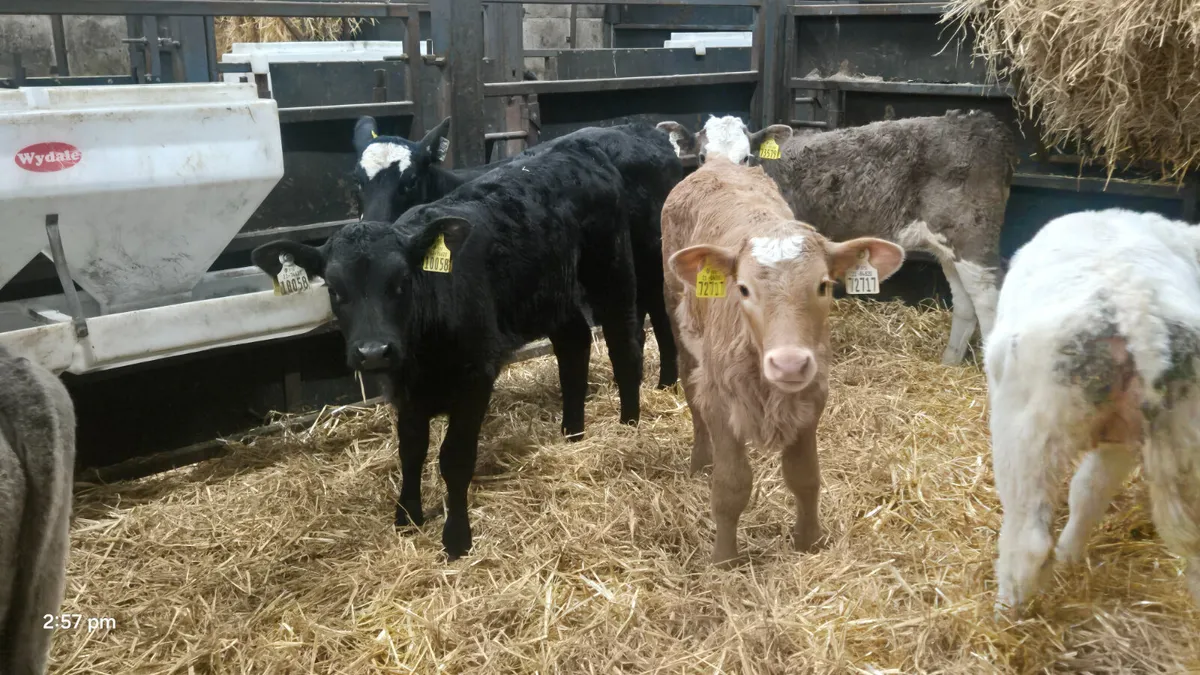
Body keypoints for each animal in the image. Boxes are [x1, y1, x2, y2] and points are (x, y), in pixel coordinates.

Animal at [253, 136, 645, 559]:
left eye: (401, 282)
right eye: (335, 290)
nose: (373, 351)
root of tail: (578, 147)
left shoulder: (476, 376)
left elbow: (454, 457)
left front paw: (456, 537)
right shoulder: (404, 387)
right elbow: (411, 449)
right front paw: (407, 516)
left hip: (611, 267)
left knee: (624, 340)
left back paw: (629, 423)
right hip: (550, 294)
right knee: (573, 341)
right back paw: (572, 431)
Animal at [657, 111, 1015, 366]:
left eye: (746, 158)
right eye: (702, 158)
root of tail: (980, 122)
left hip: (972, 236)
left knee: (987, 299)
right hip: (948, 244)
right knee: (965, 302)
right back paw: (949, 362)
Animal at [661, 154, 905, 565]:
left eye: (823, 285)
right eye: (743, 289)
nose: (789, 363)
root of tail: (720, 162)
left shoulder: (813, 395)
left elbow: (804, 476)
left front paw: (809, 541)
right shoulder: (721, 402)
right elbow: (731, 485)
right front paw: (724, 559)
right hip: (677, 315)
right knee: (691, 392)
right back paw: (700, 460)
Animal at [985, 208, 1200, 616]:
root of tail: (1138, 310)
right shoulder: (1120, 438)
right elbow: (1089, 491)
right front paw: (1070, 557)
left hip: (1027, 432)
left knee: (1027, 541)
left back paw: (1007, 612)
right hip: (1182, 435)